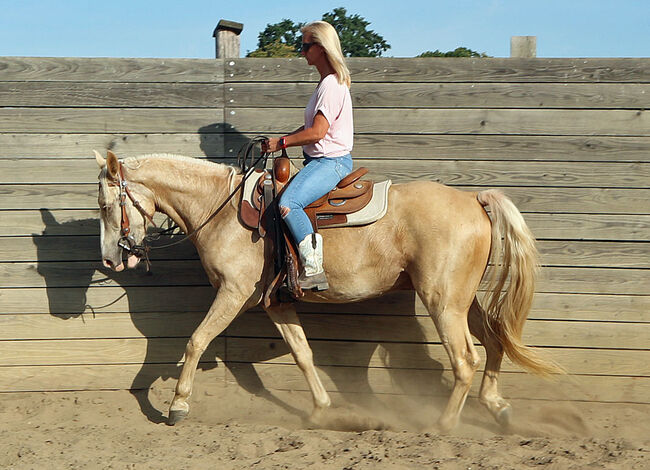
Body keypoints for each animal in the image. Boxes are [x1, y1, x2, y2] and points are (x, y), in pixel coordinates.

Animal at [93, 150, 560, 430]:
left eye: (105, 204)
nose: (111, 259)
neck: (221, 210)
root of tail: (473, 199)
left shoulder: (233, 293)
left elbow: (196, 340)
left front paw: (178, 406)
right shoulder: (274, 304)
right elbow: (303, 353)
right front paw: (319, 410)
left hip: (443, 303)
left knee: (465, 359)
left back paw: (443, 426)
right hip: (463, 300)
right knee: (495, 340)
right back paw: (496, 406)